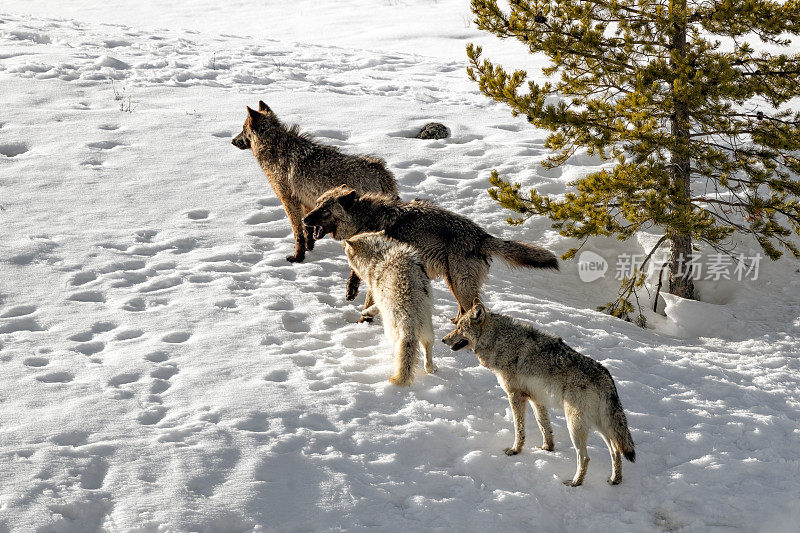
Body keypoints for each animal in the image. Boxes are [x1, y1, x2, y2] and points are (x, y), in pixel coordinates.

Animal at [230, 101, 396, 262]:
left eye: (243, 129)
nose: (232, 141)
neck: (275, 148)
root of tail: (382, 172)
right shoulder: (306, 203)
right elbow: (307, 229)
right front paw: (309, 248)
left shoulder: (289, 202)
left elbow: (298, 233)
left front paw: (298, 258)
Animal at [300, 186, 556, 320]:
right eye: (317, 204)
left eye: (324, 210)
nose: (303, 220)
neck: (365, 220)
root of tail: (482, 236)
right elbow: (355, 278)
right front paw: (351, 290)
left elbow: (368, 302)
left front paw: (363, 322)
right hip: (454, 283)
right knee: (463, 310)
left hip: (460, 284)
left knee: (473, 309)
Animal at [340, 231, 434, 384]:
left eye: (346, 249)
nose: (343, 242)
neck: (379, 253)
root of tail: (409, 317)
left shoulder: (377, 294)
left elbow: (374, 307)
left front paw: (366, 312)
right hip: (428, 330)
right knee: (427, 349)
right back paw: (431, 369)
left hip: (392, 330)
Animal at [440, 302, 636, 484]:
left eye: (459, 327)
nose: (443, 339)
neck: (498, 340)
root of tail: (606, 377)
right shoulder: (536, 399)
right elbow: (544, 426)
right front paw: (547, 448)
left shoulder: (515, 396)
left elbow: (519, 429)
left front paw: (515, 450)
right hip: (600, 426)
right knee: (616, 451)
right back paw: (614, 480)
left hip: (575, 425)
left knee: (585, 457)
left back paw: (575, 483)